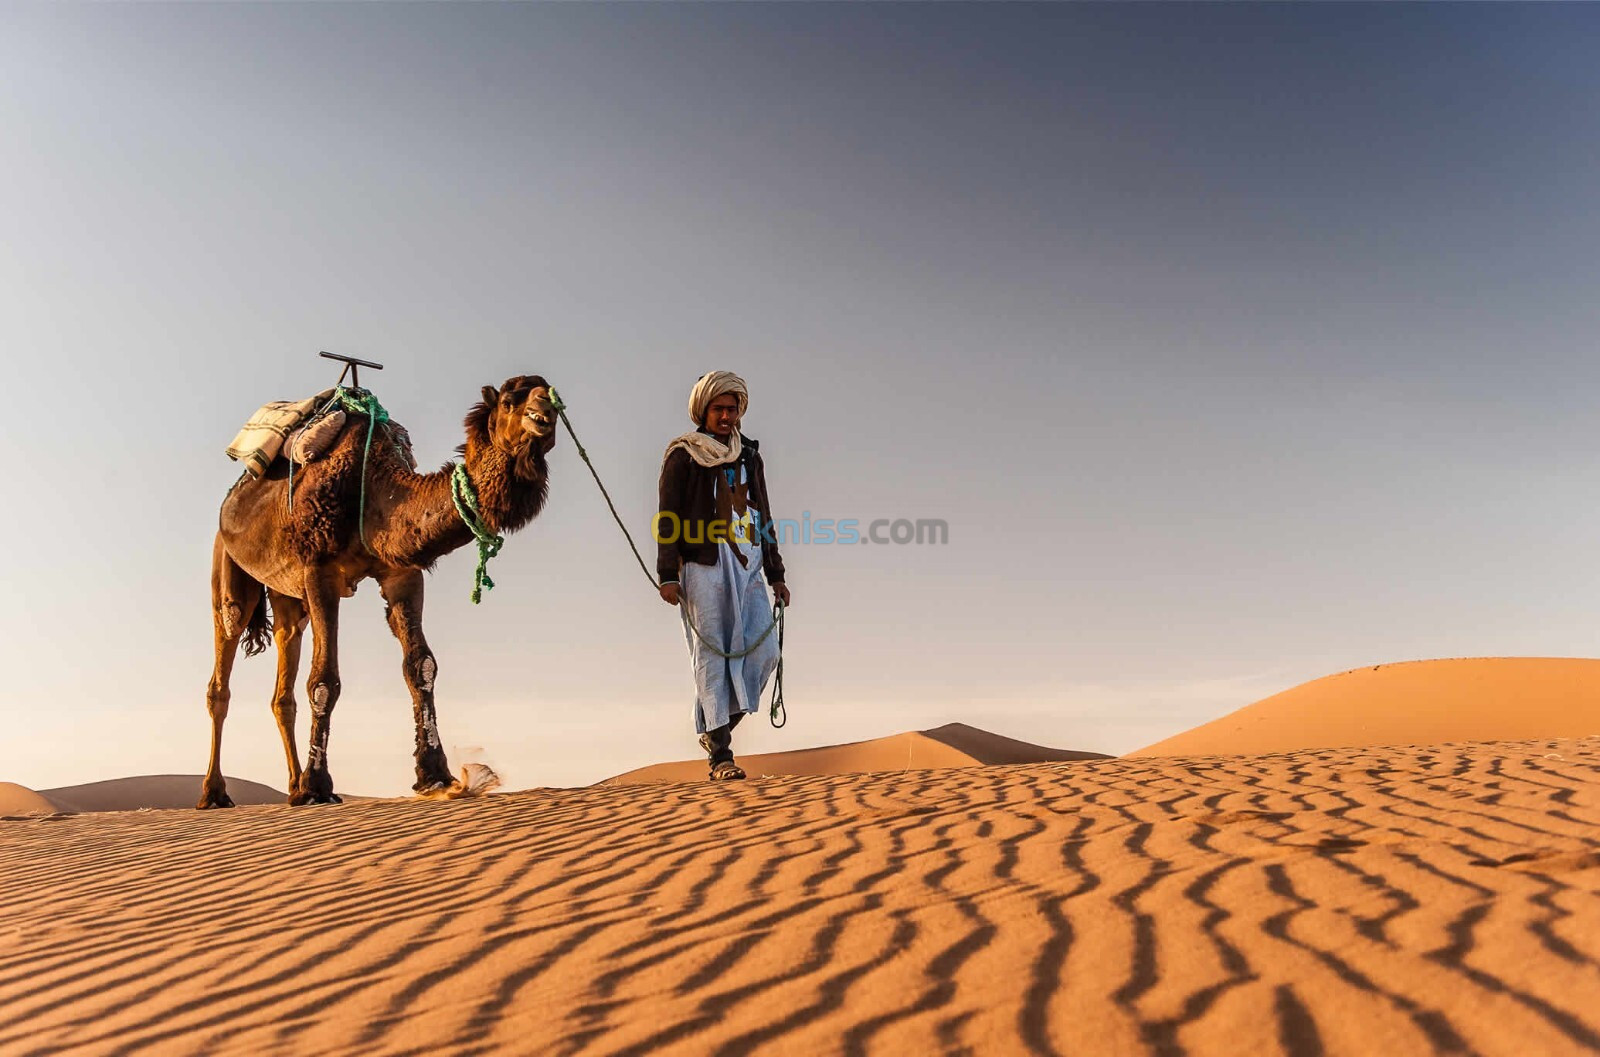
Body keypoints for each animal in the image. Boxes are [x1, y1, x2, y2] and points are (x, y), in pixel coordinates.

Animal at [200, 375, 556, 802]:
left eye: (550, 393)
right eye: (508, 401)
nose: (545, 409)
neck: (371, 491)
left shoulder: (402, 572)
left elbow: (421, 665)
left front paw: (435, 774)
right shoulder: (319, 570)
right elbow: (324, 680)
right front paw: (318, 785)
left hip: (287, 596)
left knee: (283, 682)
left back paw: (292, 786)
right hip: (227, 563)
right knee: (223, 664)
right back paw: (215, 793)